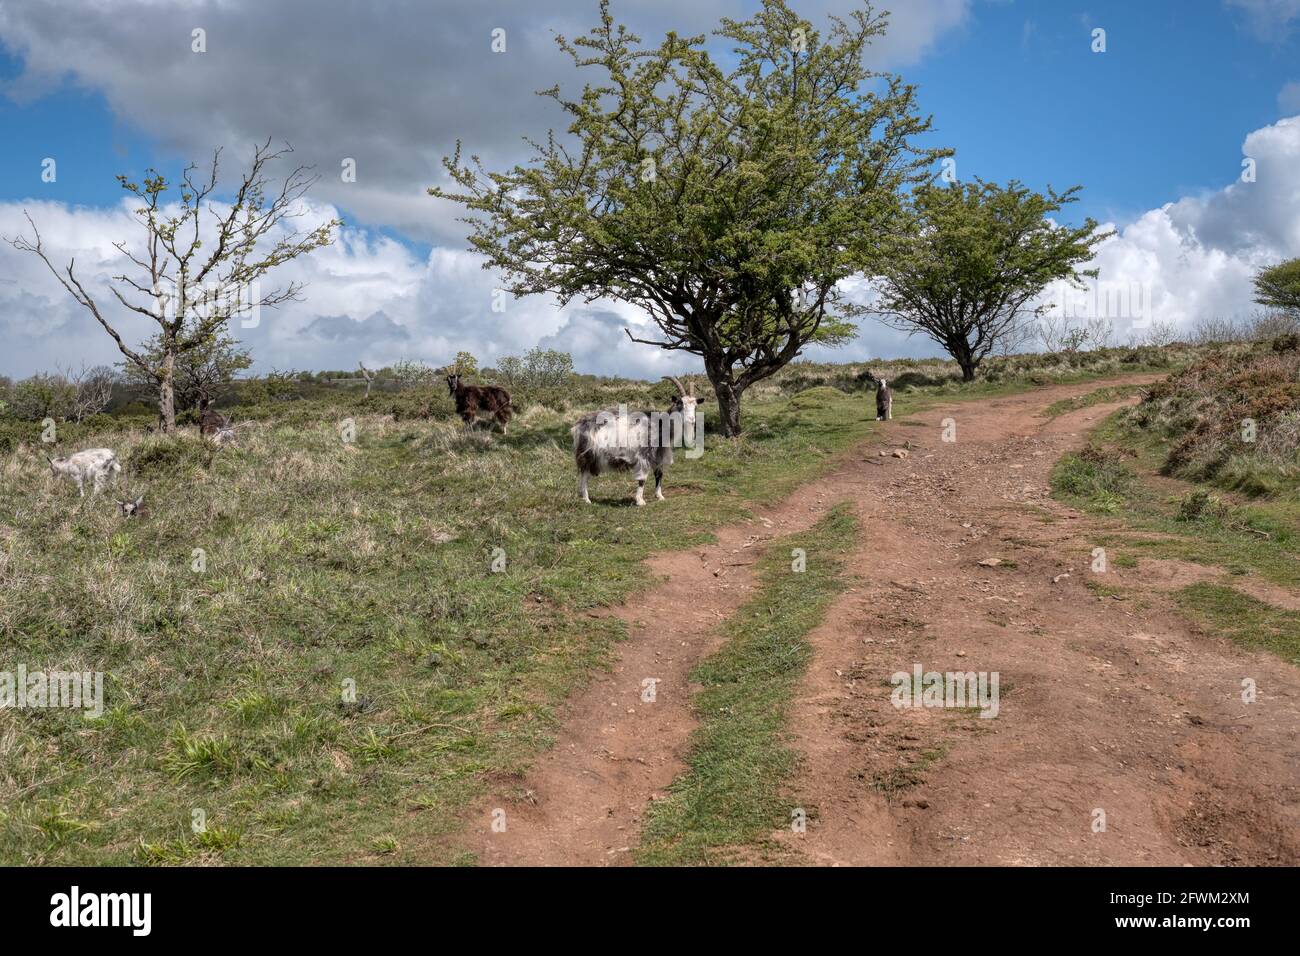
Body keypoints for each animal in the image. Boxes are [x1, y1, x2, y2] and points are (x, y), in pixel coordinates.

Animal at [574, 374, 707, 509]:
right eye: (680, 403)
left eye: (695, 406)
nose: (691, 420)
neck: (659, 425)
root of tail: (579, 423)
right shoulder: (644, 455)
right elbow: (642, 479)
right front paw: (640, 501)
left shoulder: (659, 456)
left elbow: (659, 474)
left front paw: (659, 496)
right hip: (587, 454)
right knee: (584, 475)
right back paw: (586, 499)